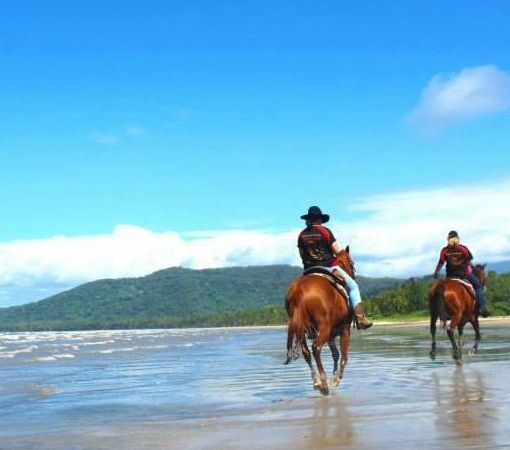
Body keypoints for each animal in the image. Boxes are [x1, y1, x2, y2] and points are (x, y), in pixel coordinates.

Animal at [282, 246, 354, 394]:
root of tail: (298, 291)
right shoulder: (344, 329)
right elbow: (343, 356)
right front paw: (336, 378)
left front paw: (334, 376)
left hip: (301, 328)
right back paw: (324, 384)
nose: (353, 275)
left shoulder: (331, 334)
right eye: (351, 263)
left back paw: (317, 381)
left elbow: (335, 354)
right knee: (316, 348)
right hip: (324, 328)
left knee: (306, 352)